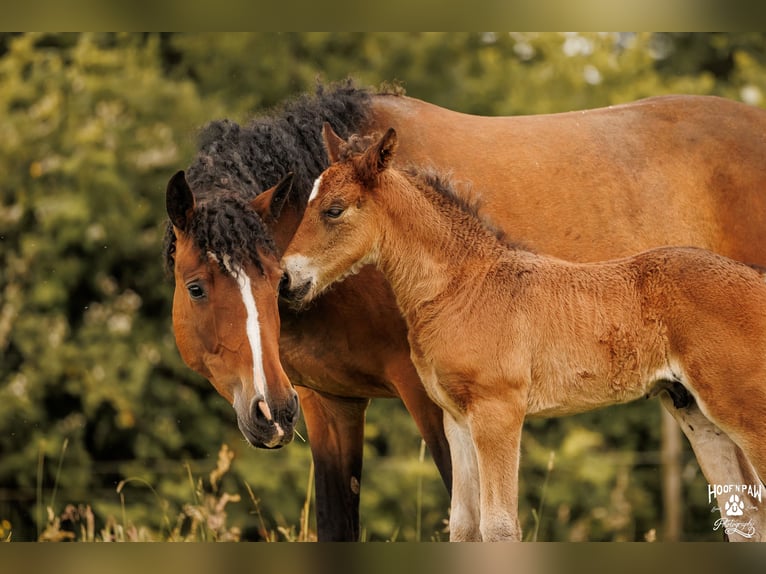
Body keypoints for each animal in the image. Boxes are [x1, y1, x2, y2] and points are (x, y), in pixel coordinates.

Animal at [165, 81, 766, 541]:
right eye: (197, 286)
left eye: (334, 210)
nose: (269, 412)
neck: (464, 280)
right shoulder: (336, 402)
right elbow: (443, 526)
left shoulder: (477, 409)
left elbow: (494, 525)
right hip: (693, 407)